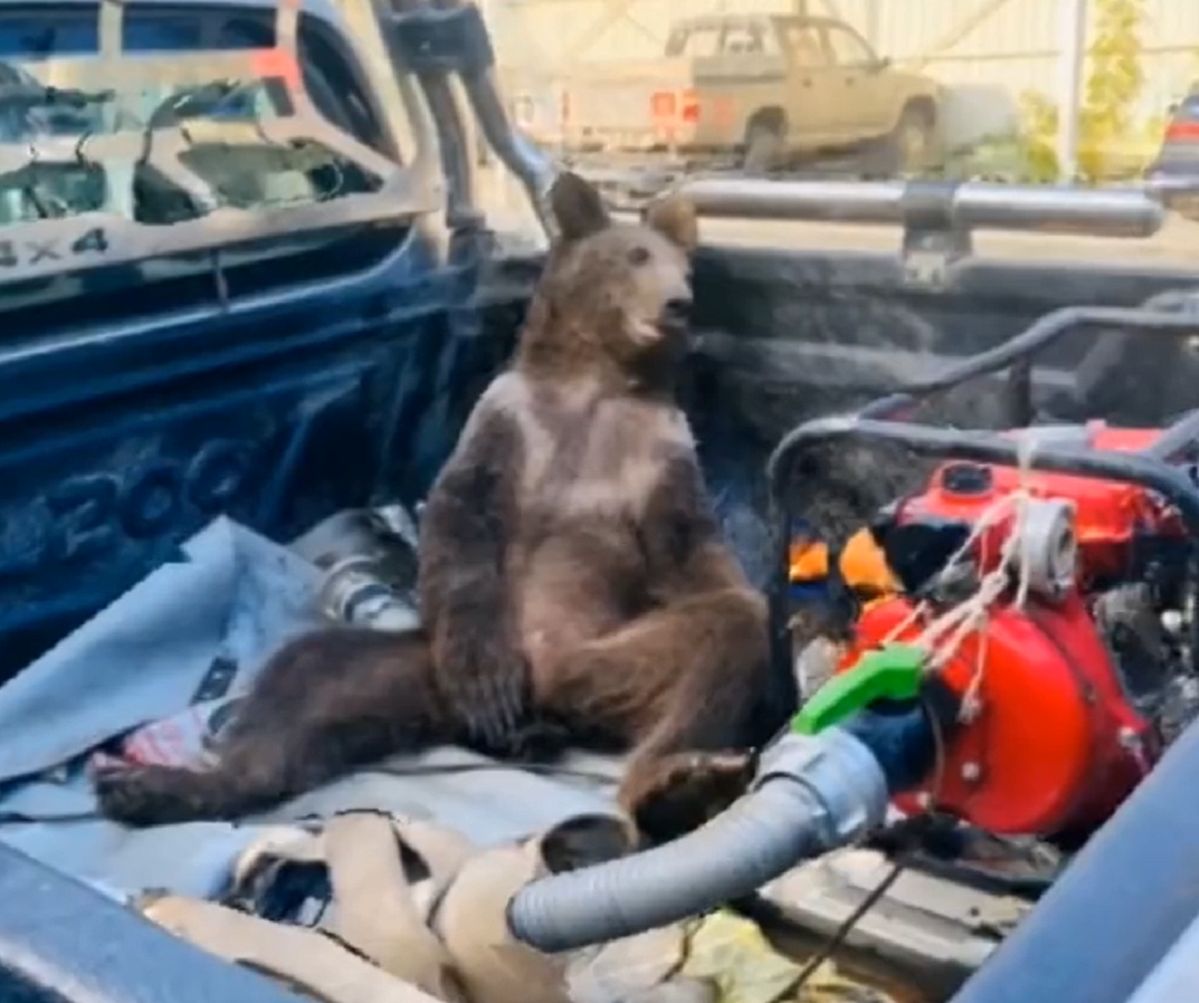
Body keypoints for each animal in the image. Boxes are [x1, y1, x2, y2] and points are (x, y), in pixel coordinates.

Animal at [91, 172, 767, 843]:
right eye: (635, 255)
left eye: (683, 268)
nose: (677, 302)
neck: (595, 386)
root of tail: (549, 706)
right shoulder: (507, 421)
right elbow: (462, 518)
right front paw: (488, 680)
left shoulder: (659, 452)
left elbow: (694, 549)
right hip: (417, 667)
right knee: (302, 682)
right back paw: (156, 786)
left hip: (605, 660)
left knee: (722, 639)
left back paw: (673, 784)